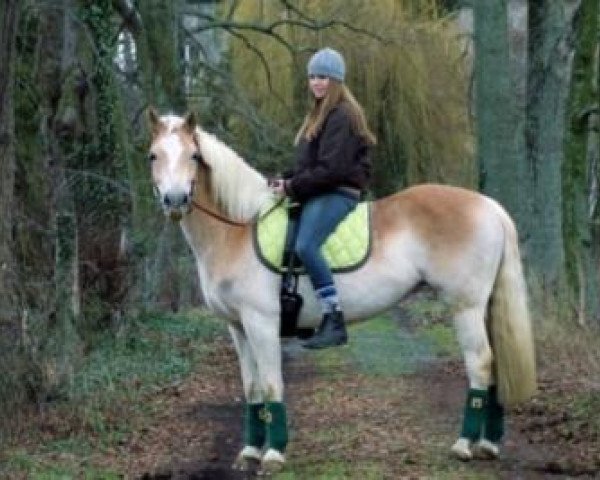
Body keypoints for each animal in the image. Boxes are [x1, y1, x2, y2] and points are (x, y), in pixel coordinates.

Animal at [146, 110, 540, 474]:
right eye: (153, 155)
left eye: (193, 155)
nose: (175, 200)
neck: (239, 228)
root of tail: (490, 206)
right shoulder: (238, 327)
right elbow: (253, 389)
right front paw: (250, 452)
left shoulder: (261, 323)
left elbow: (272, 385)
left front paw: (273, 454)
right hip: (483, 307)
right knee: (496, 364)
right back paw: (488, 445)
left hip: (465, 307)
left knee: (481, 364)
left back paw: (464, 445)